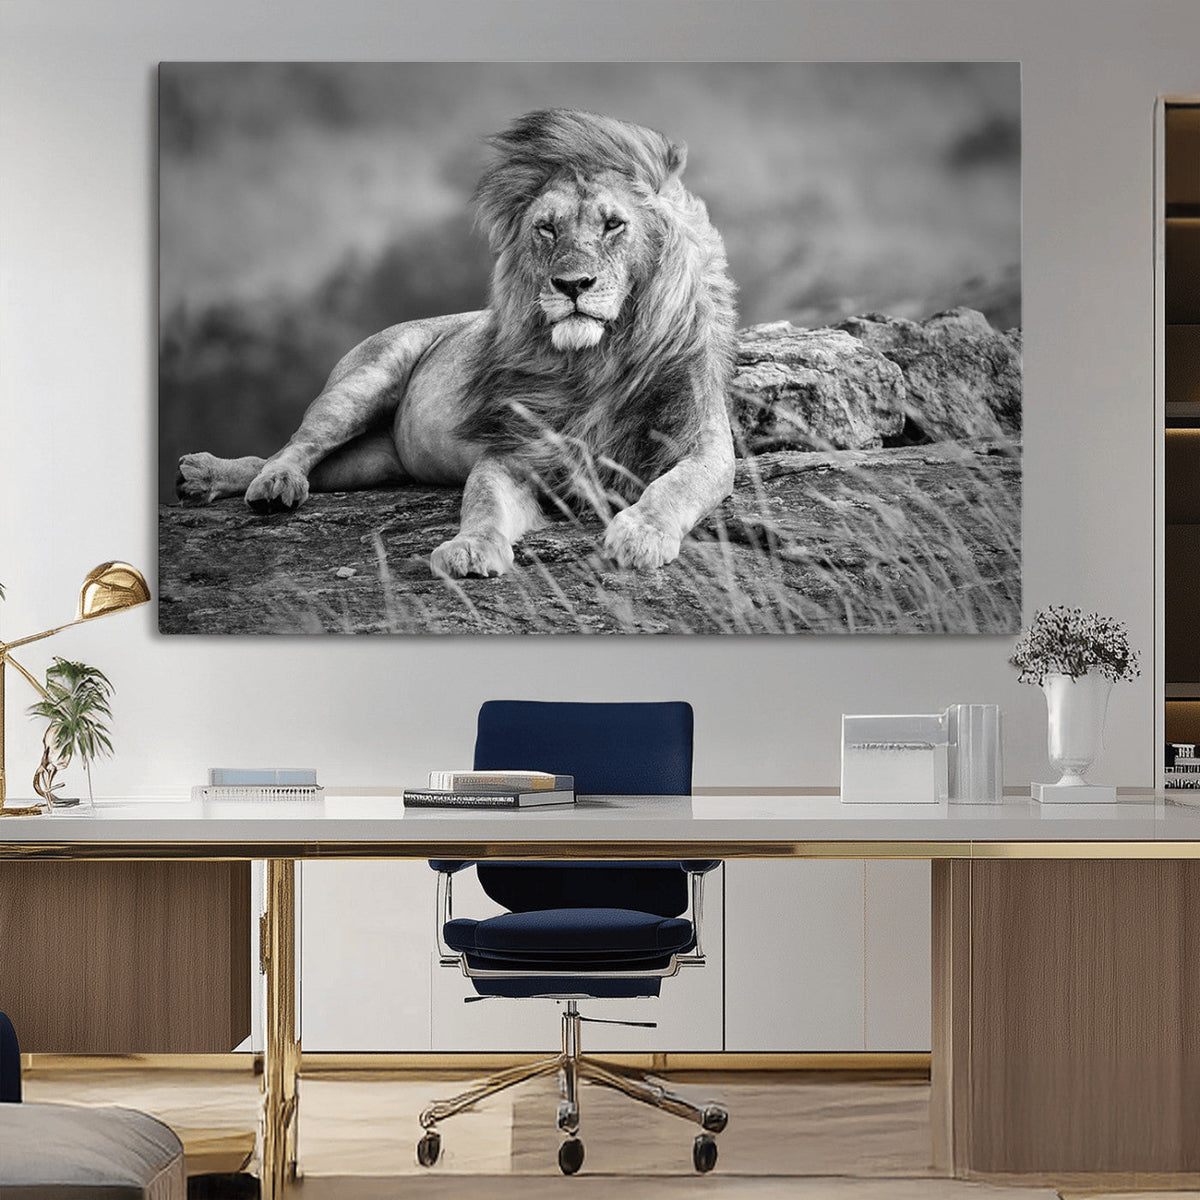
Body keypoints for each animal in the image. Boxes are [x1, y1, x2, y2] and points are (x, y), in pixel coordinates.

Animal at [177, 108, 738, 577]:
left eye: (613, 224)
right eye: (546, 229)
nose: (571, 285)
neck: (595, 361)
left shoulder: (703, 444)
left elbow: (676, 486)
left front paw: (641, 533)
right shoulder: (513, 451)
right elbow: (483, 501)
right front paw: (470, 549)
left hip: (372, 462)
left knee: (301, 462)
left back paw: (207, 477)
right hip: (362, 381)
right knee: (296, 445)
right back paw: (260, 483)